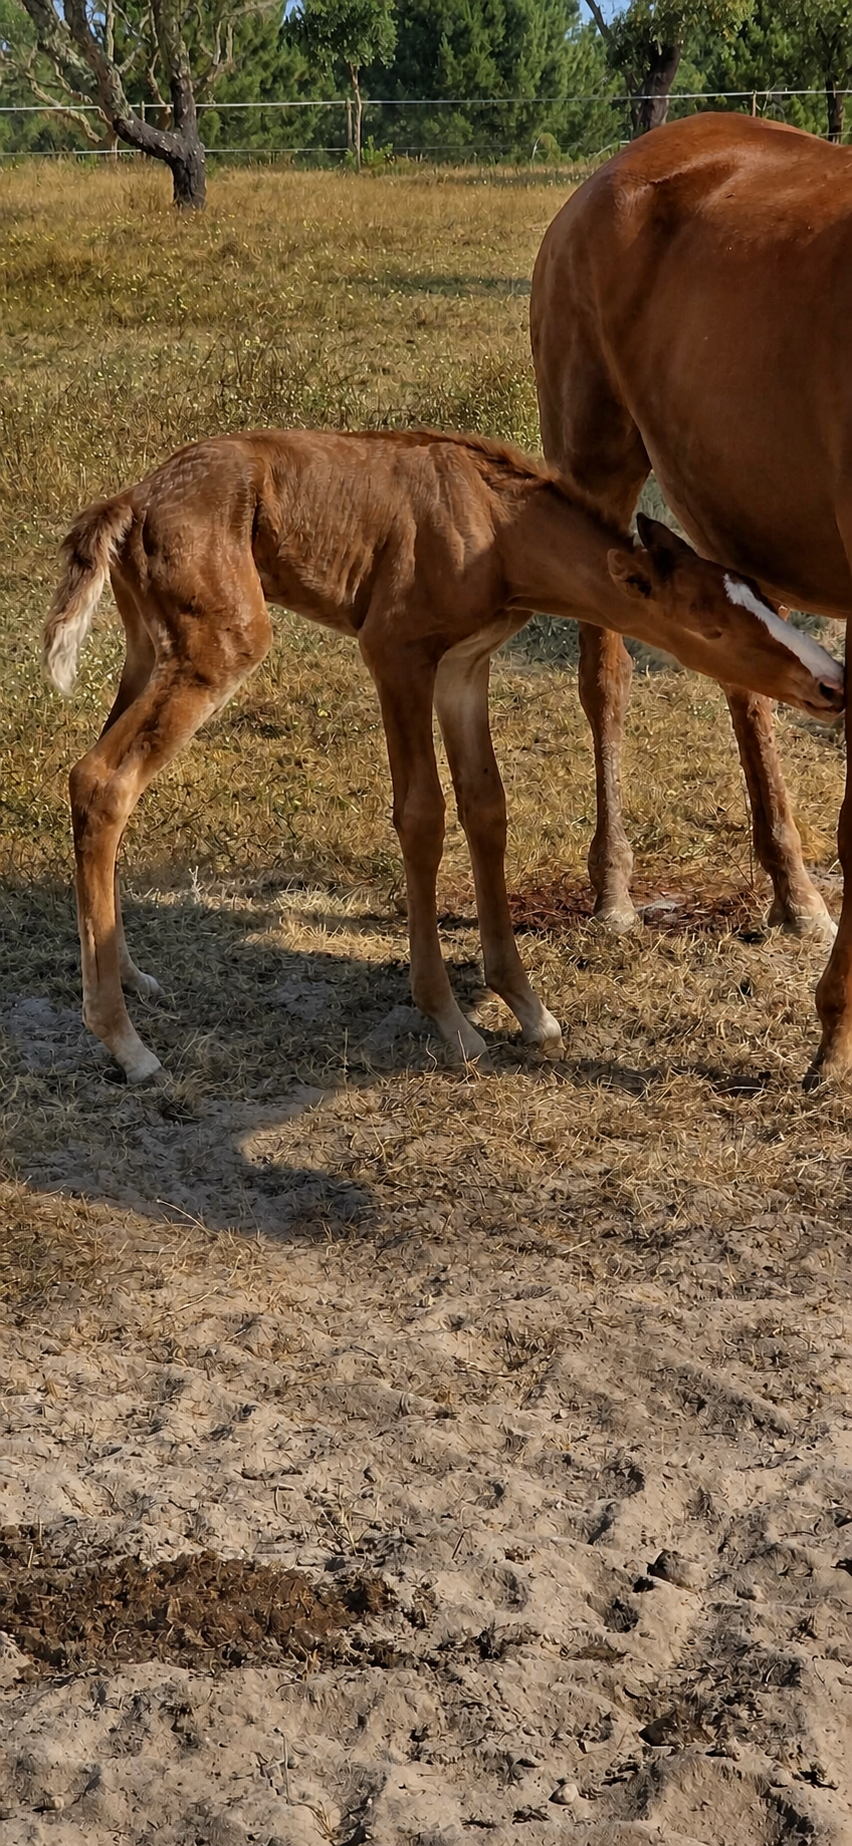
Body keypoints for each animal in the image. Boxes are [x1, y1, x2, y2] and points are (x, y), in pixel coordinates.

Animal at [43, 426, 843, 1084]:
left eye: (760, 596)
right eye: (711, 627)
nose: (832, 681)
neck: (496, 529)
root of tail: (131, 500)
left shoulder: (466, 665)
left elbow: (486, 807)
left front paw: (528, 1006)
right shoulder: (394, 651)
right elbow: (422, 816)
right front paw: (450, 1020)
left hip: (150, 648)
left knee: (99, 781)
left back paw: (130, 976)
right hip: (220, 645)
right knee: (101, 779)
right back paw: (126, 1043)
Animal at [531, 113, 852, 1079]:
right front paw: (834, 1035)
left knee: (752, 684)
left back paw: (794, 892)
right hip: (593, 464)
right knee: (606, 676)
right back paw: (613, 889)